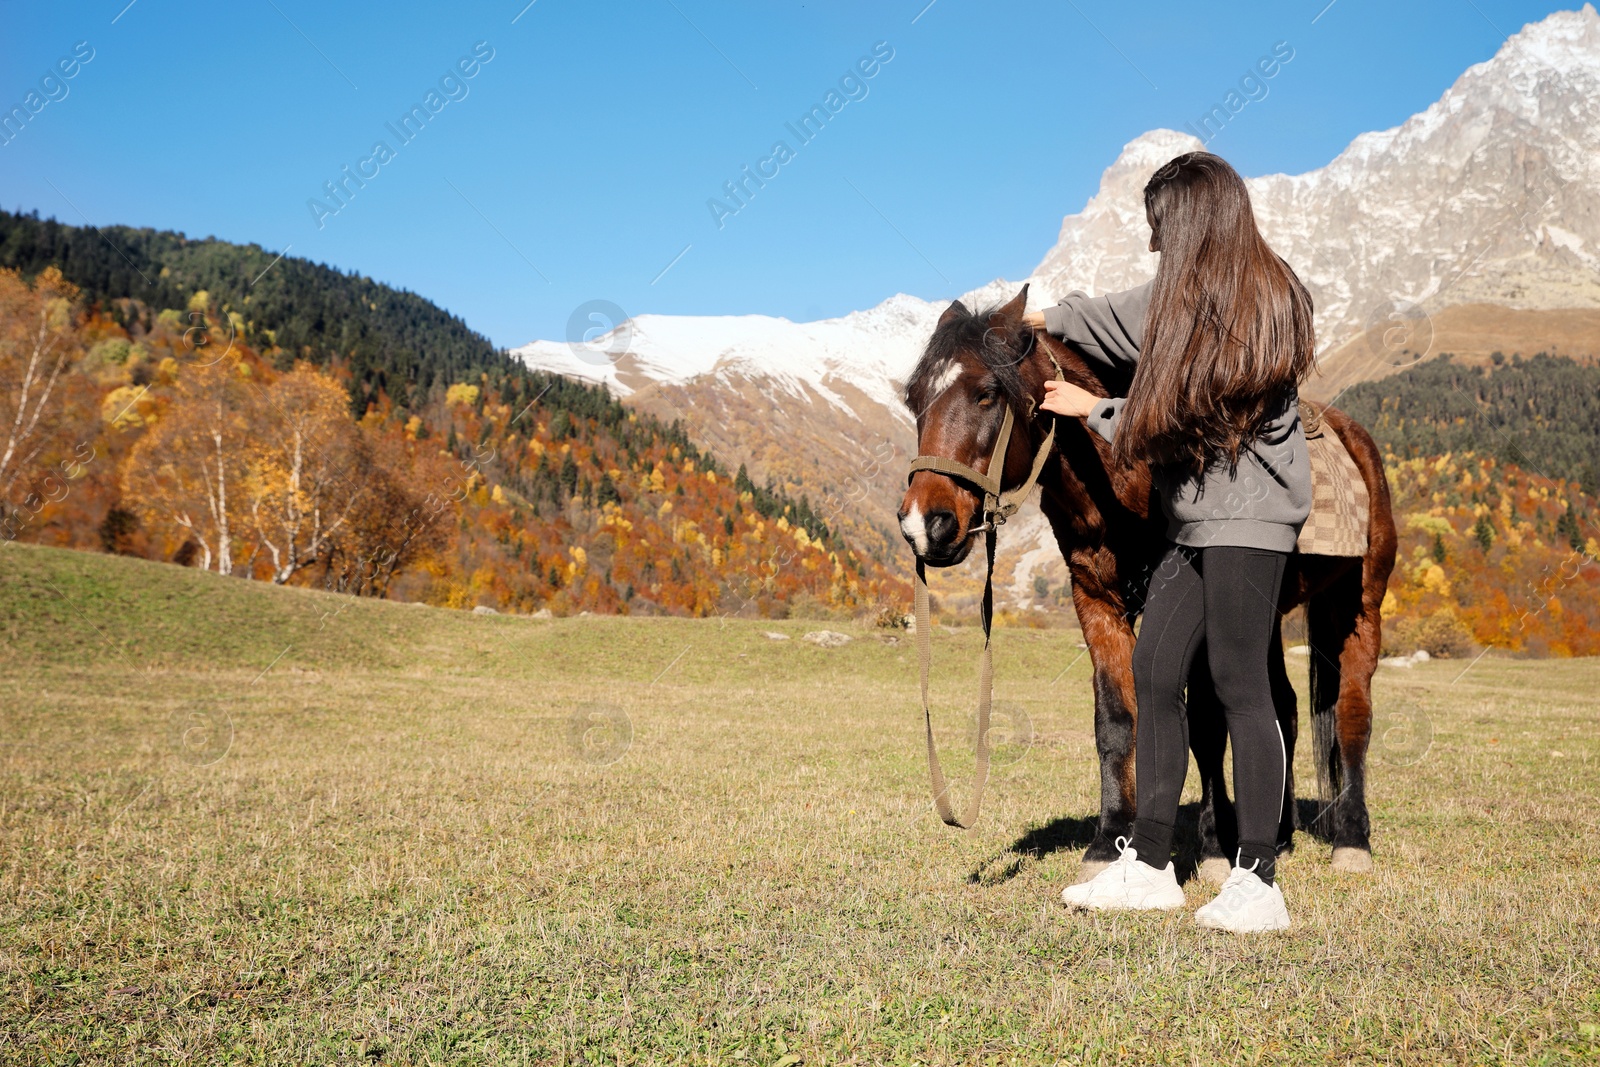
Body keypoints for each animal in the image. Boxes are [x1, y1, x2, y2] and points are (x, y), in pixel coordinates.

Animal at [902, 283, 1401, 876]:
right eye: (913, 399)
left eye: (986, 394)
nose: (924, 525)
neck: (1128, 476)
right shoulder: (1095, 601)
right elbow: (1117, 719)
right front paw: (1110, 841)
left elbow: (1205, 724)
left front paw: (1212, 848)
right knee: (1283, 708)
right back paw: (1277, 835)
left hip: (1357, 605)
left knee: (1352, 714)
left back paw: (1351, 838)